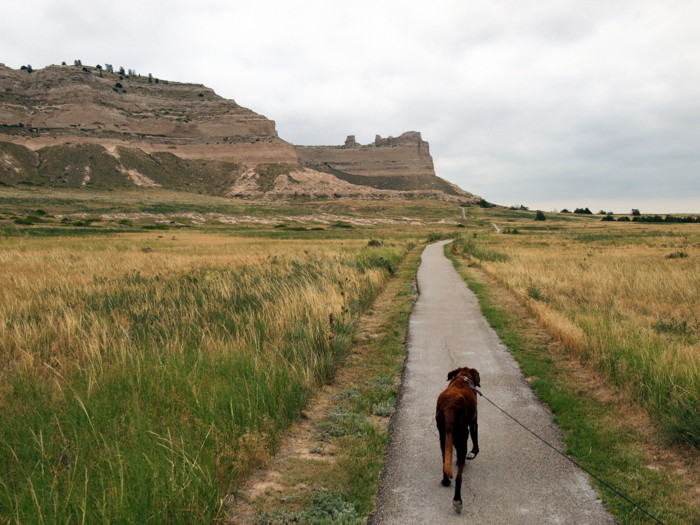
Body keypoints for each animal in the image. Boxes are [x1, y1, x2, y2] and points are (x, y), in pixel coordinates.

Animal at [434, 366, 478, 510]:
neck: (462, 378)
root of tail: (450, 407)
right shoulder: (473, 422)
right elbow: (476, 443)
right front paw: (473, 453)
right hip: (462, 437)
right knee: (459, 477)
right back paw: (457, 499)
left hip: (443, 437)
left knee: (444, 461)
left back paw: (445, 481)